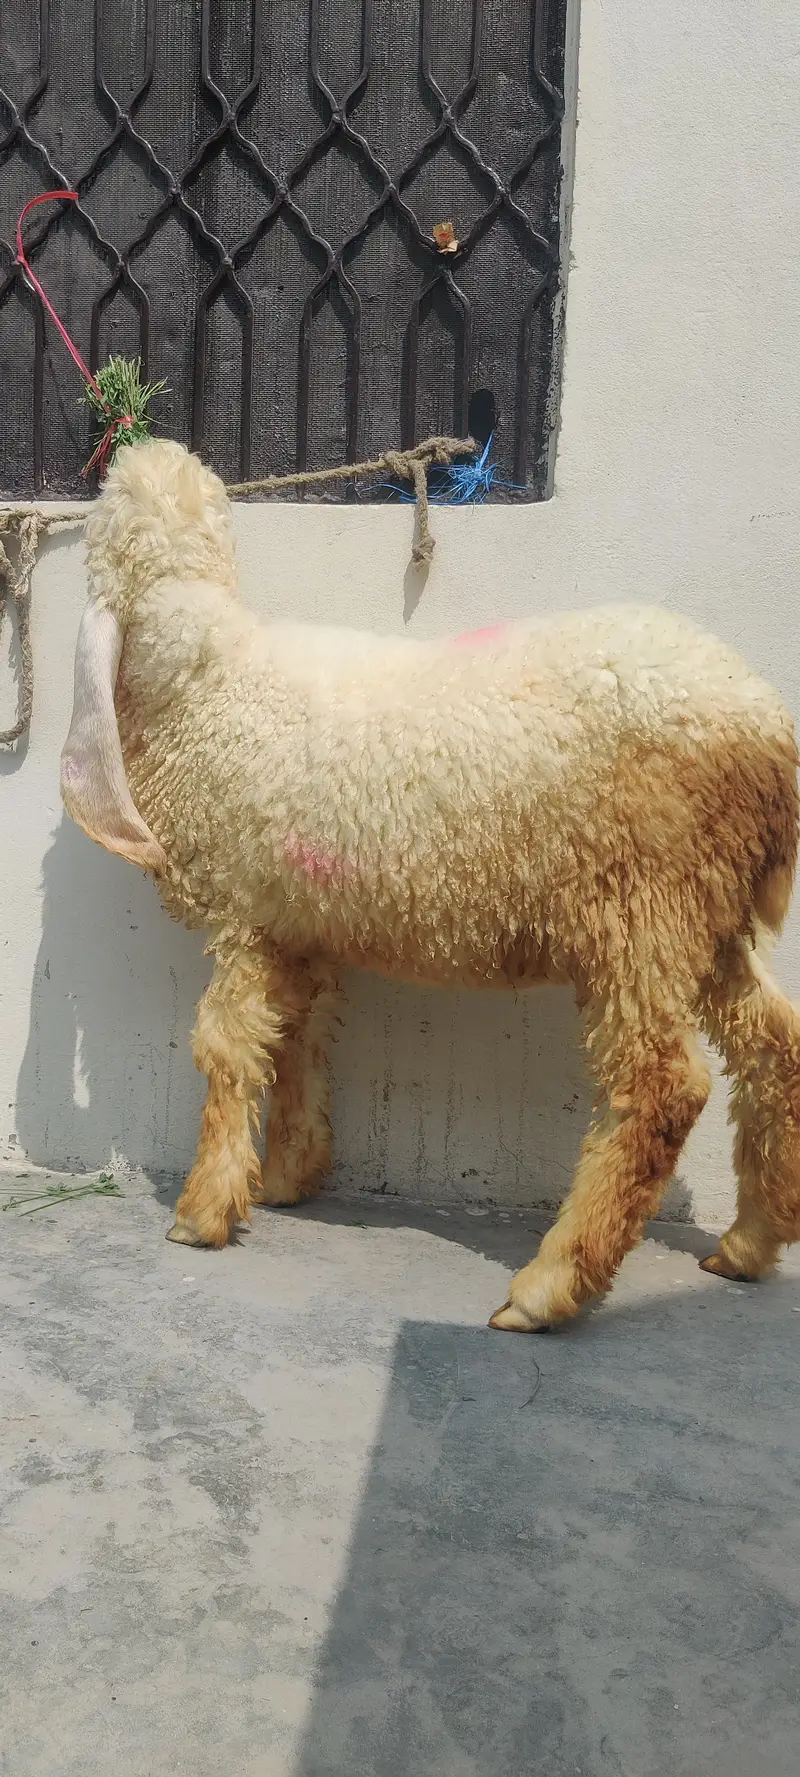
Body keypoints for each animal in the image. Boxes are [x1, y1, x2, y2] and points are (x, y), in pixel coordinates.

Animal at [60, 438, 800, 1332]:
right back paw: (750, 1243)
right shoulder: (299, 920)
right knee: (776, 1046)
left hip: (641, 907)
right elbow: (298, 1034)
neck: (208, 680)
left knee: (662, 1086)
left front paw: (204, 1210)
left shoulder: (244, 913)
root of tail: (767, 731)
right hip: (710, 914)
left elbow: (228, 1046)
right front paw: (289, 1176)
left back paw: (549, 1287)